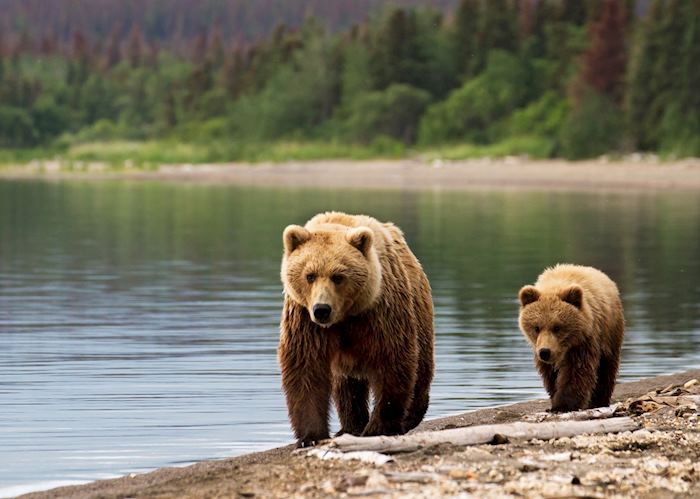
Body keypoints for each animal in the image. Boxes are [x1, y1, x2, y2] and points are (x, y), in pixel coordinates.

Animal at [278, 211, 434, 447]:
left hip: (419, 310)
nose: (322, 309)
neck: (344, 316)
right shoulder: (305, 320)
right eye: (310, 275)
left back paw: (410, 416)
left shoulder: (379, 313)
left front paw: (379, 427)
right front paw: (310, 436)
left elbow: (392, 360)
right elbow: (305, 368)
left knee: (421, 367)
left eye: (338, 276)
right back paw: (350, 426)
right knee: (345, 387)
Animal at [518, 264, 625, 412]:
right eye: (536, 327)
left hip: (610, 333)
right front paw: (554, 397)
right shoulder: (540, 348)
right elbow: (550, 375)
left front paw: (563, 404)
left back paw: (599, 401)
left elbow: (576, 371)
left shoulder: (583, 341)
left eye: (557, 327)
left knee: (607, 367)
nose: (545, 352)